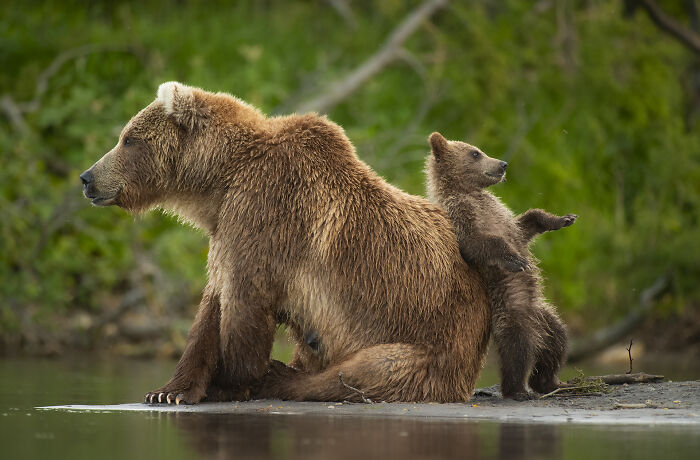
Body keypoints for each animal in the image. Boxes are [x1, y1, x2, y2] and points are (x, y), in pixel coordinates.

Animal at [80, 82, 492, 404]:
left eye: (128, 139)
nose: (87, 177)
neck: (219, 182)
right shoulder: (227, 229)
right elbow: (211, 306)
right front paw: (169, 390)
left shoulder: (266, 215)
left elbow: (244, 303)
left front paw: (228, 383)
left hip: (432, 338)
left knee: (369, 370)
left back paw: (281, 376)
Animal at [425, 132, 576, 400]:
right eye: (475, 153)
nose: (503, 164)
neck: (469, 192)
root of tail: (534, 320)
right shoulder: (461, 218)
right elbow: (479, 243)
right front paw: (517, 260)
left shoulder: (504, 218)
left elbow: (527, 223)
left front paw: (563, 219)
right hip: (513, 311)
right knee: (518, 350)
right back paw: (518, 390)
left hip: (546, 317)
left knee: (557, 341)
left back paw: (551, 383)